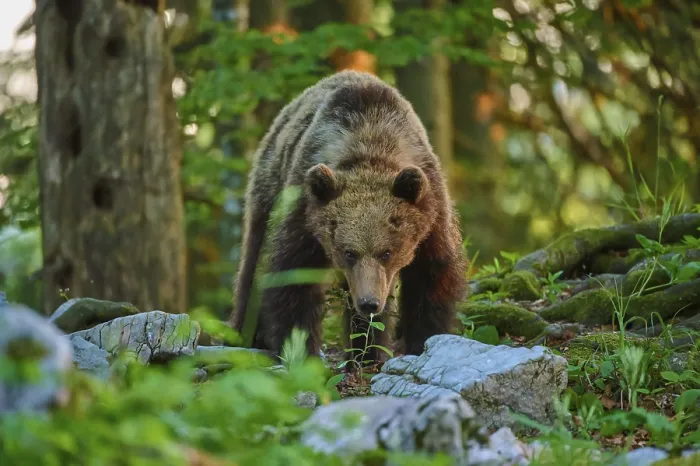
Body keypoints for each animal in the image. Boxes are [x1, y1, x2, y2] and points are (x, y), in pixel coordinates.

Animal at [228, 70, 467, 366]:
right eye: (348, 252)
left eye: (387, 252)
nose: (369, 303)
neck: (371, 141)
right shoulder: (306, 211)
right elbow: (293, 275)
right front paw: (300, 349)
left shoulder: (430, 209)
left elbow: (431, 276)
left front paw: (420, 339)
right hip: (270, 186)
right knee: (254, 258)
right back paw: (247, 333)